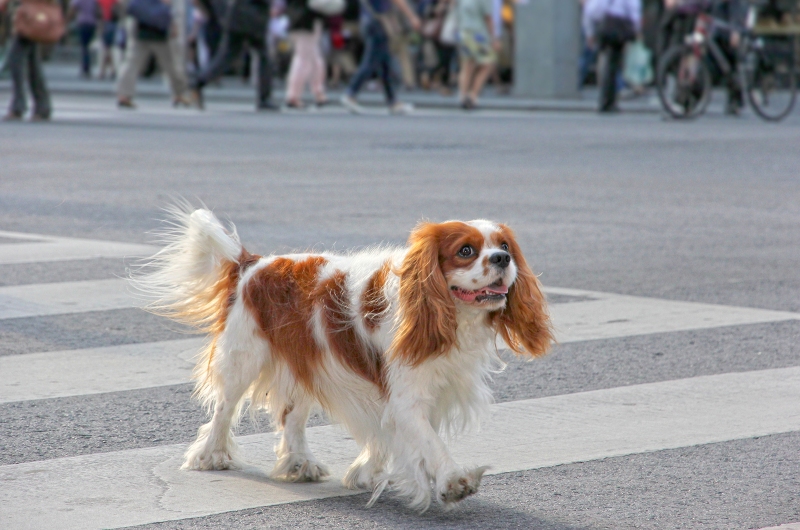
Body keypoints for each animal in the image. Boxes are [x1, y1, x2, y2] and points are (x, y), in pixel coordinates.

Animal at [134, 204, 552, 510]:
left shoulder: (423, 388)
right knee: (224, 408)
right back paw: (212, 455)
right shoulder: (406, 395)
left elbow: (393, 435)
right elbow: (429, 441)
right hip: (243, 358)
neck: (450, 316)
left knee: (292, 416)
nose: (501, 259)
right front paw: (453, 482)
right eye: (466, 251)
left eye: (505, 247)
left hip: (308, 362)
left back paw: (298, 462)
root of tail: (252, 263)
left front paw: (367, 471)